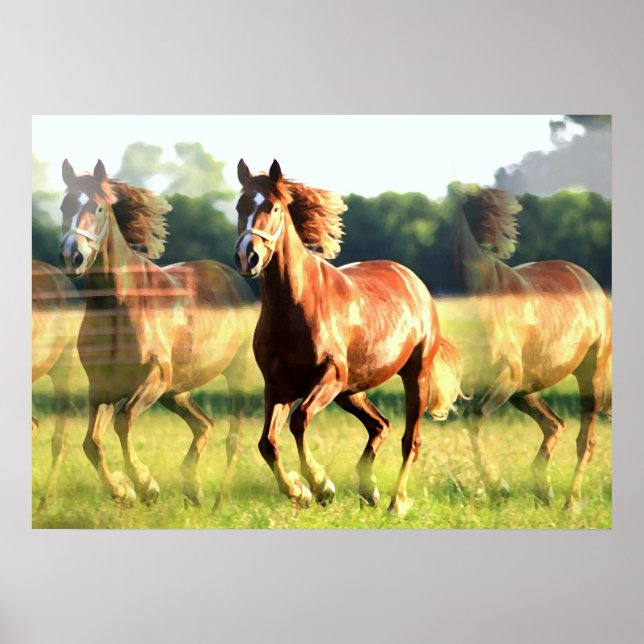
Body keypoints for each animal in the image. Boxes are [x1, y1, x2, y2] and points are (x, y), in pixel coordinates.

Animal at [58, 159, 256, 507]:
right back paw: (193, 489)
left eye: (98, 208)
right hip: (176, 392)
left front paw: (145, 485)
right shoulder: (103, 387)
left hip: (234, 373)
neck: (119, 305)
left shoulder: (154, 377)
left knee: (234, 438)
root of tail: (232, 276)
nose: (73, 256)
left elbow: (123, 421)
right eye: (63, 206)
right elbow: (91, 443)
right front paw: (122, 491)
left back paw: (219, 501)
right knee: (204, 425)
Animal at [233, 159, 462, 516]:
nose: (248, 257)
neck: (295, 307)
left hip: (413, 377)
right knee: (380, 425)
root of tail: (414, 282)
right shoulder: (277, 387)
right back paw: (369, 491)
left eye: (273, 207)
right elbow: (267, 443)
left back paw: (396, 502)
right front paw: (299, 491)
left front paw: (320, 486)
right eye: (239, 206)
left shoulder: (329, 376)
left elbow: (299, 421)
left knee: (410, 440)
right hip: (351, 390)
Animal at [451, 185, 612, 510]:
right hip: (526, 390)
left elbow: (474, 416)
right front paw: (497, 488)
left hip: (589, 378)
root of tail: (590, 282)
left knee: (585, 442)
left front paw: (497, 486)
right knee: (555, 425)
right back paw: (544, 492)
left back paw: (570, 503)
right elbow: (469, 420)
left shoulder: (506, 377)